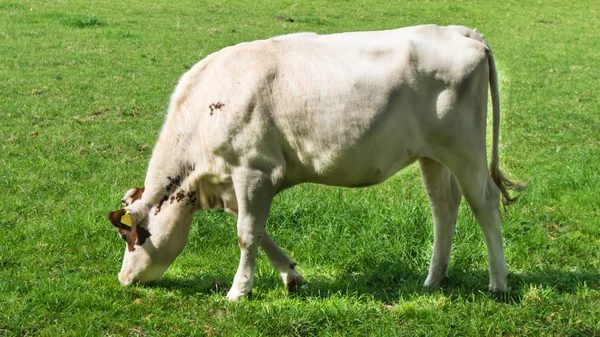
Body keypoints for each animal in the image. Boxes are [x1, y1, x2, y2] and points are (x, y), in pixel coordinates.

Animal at [108, 25, 520, 300]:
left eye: (131, 238)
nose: (123, 280)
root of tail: (459, 31)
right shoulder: (236, 183)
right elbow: (258, 231)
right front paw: (290, 276)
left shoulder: (253, 170)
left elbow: (246, 234)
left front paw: (239, 291)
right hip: (432, 155)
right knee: (444, 207)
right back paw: (434, 279)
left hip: (465, 150)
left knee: (485, 204)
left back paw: (498, 282)